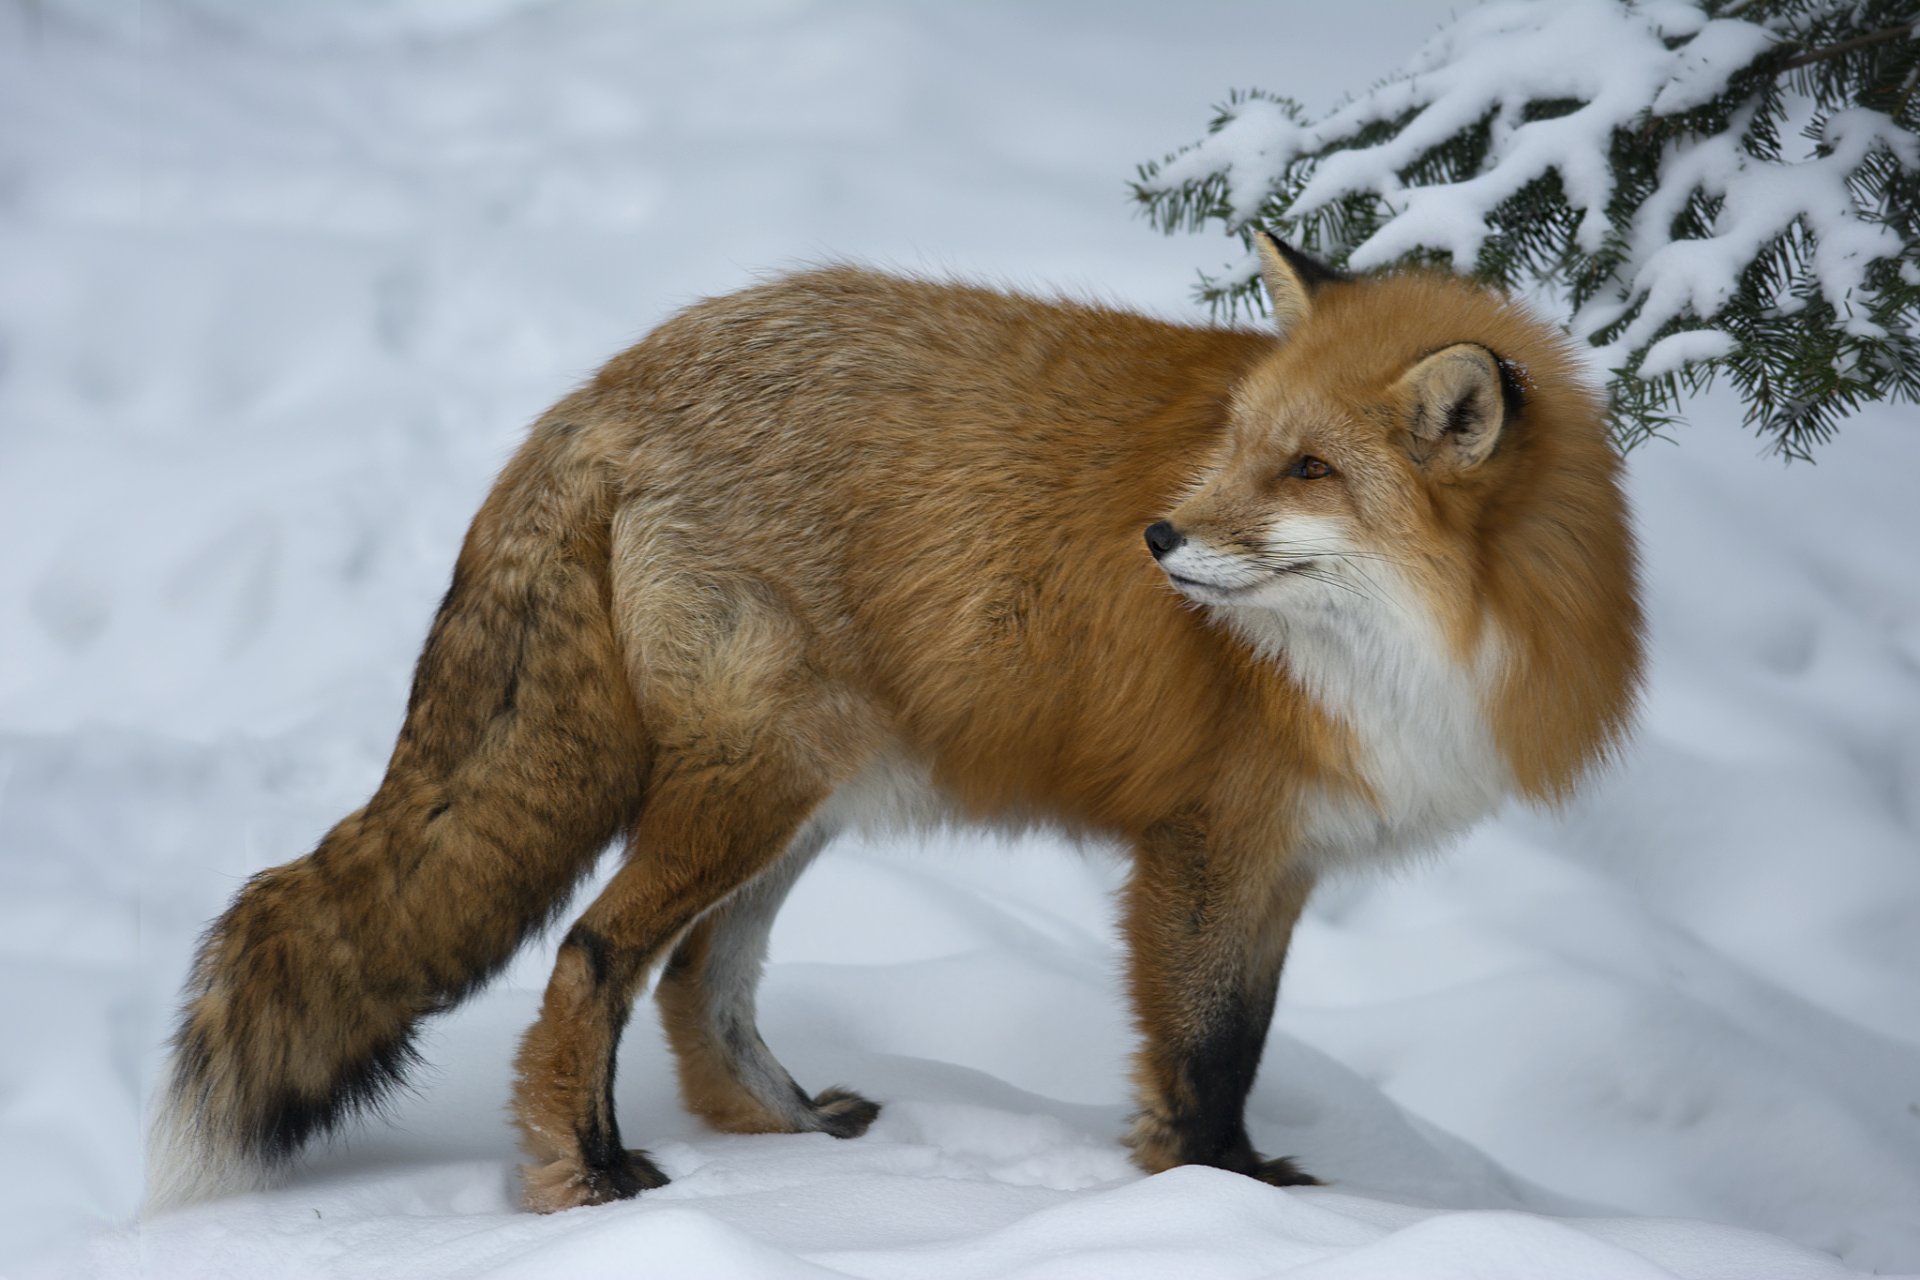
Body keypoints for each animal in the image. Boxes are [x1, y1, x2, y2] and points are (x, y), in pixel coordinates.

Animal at [149, 232, 1642, 1214]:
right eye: (1240, 447)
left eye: (1310, 468)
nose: (1157, 536)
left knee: (699, 982)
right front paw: (1217, 1205)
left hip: (807, 798)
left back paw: (789, 1134)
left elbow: (1244, 1040)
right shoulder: (1205, 846)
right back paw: (590, 1171)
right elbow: (1207, 1054)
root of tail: (603, 388)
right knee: (596, 955)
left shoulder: (1286, 861)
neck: (1431, 644)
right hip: (759, 780)